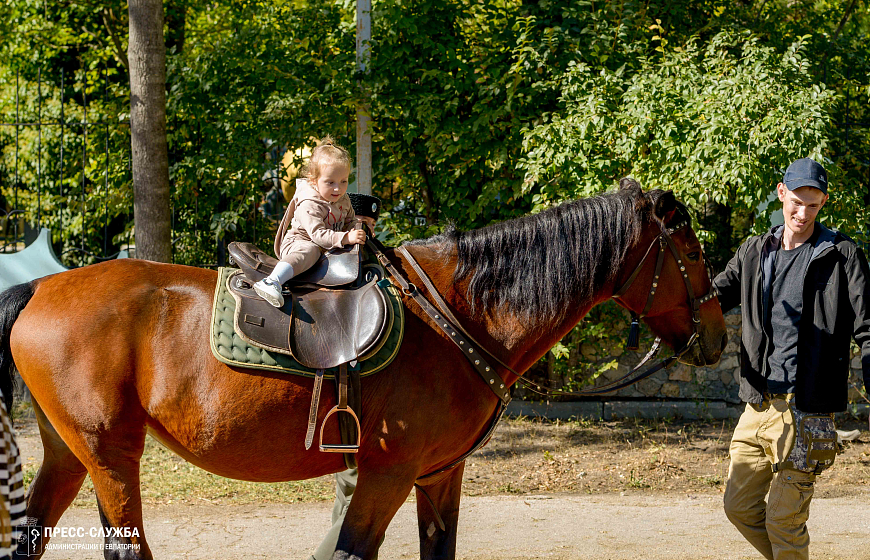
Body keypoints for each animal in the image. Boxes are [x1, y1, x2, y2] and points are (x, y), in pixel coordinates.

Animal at [0, 182, 728, 556]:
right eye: (690, 249)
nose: (719, 336)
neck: (459, 315)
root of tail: (39, 287)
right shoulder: (388, 473)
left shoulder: (438, 474)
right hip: (111, 452)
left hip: (71, 453)